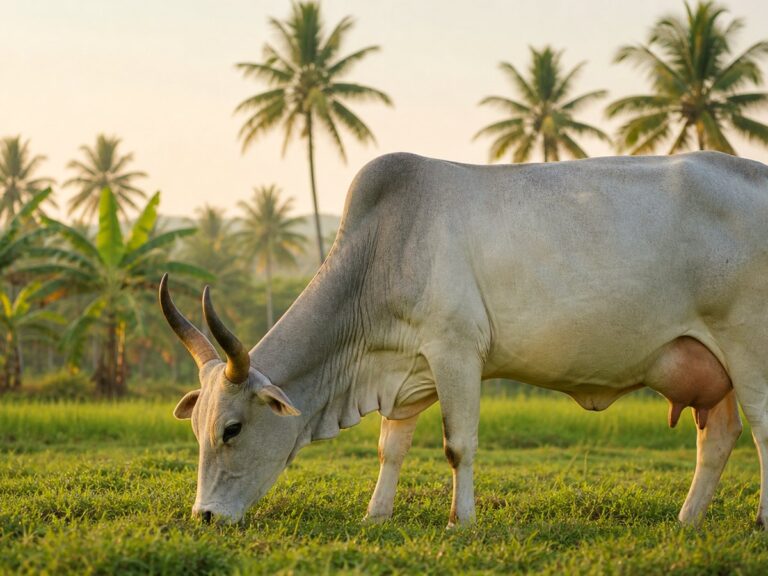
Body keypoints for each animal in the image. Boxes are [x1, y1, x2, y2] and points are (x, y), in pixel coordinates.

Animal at [160, 150, 768, 528]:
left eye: (232, 429)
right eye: (196, 429)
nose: (204, 516)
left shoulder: (456, 353)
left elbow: (459, 446)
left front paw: (462, 521)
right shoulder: (406, 371)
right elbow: (390, 448)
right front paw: (376, 514)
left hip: (748, 347)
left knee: (761, 430)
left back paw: (758, 519)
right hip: (712, 362)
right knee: (718, 438)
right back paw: (687, 520)